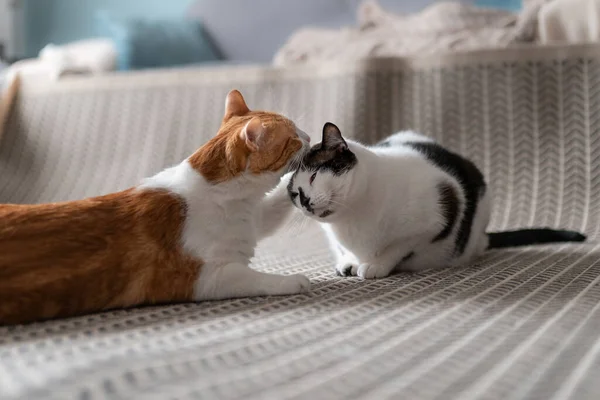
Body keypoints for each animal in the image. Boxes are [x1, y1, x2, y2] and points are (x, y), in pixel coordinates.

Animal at [0, 90, 310, 324]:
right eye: (293, 137)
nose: (308, 137)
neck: (230, 198)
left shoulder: (254, 219)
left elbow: (274, 205)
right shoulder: (206, 277)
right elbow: (258, 279)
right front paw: (294, 281)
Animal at [286, 123, 584, 280]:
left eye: (314, 176)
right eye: (295, 193)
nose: (306, 200)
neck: (351, 219)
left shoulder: (437, 216)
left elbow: (397, 248)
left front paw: (375, 265)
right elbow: (342, 249)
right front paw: (348, 261)